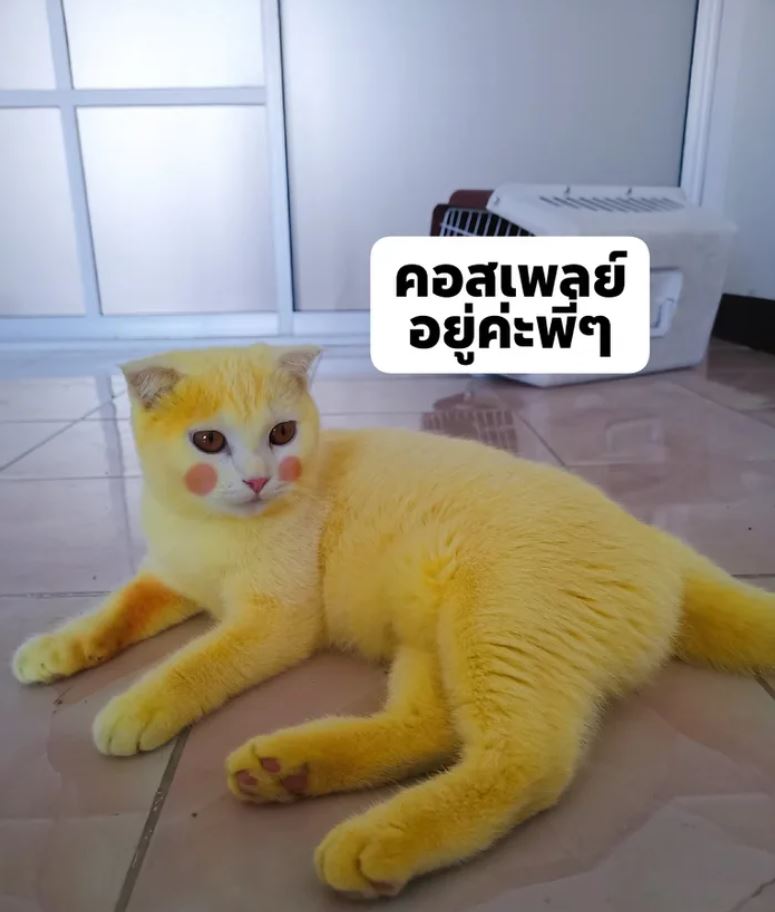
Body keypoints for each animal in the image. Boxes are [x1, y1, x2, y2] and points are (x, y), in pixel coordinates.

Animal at [12, 343, 775, 898]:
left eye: (282, 433)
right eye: (208, 442)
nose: (259, 478)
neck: (208, 526)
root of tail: (659, 543)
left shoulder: (275, 618)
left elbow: (197, 661)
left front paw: (138, 705)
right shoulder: (168, 579)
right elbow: (114, 611)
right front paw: (54, 648)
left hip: (496, 623)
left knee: (528, 761)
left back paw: (376, 838)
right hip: (429, 643)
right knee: (430, 727)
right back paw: (292, 769)